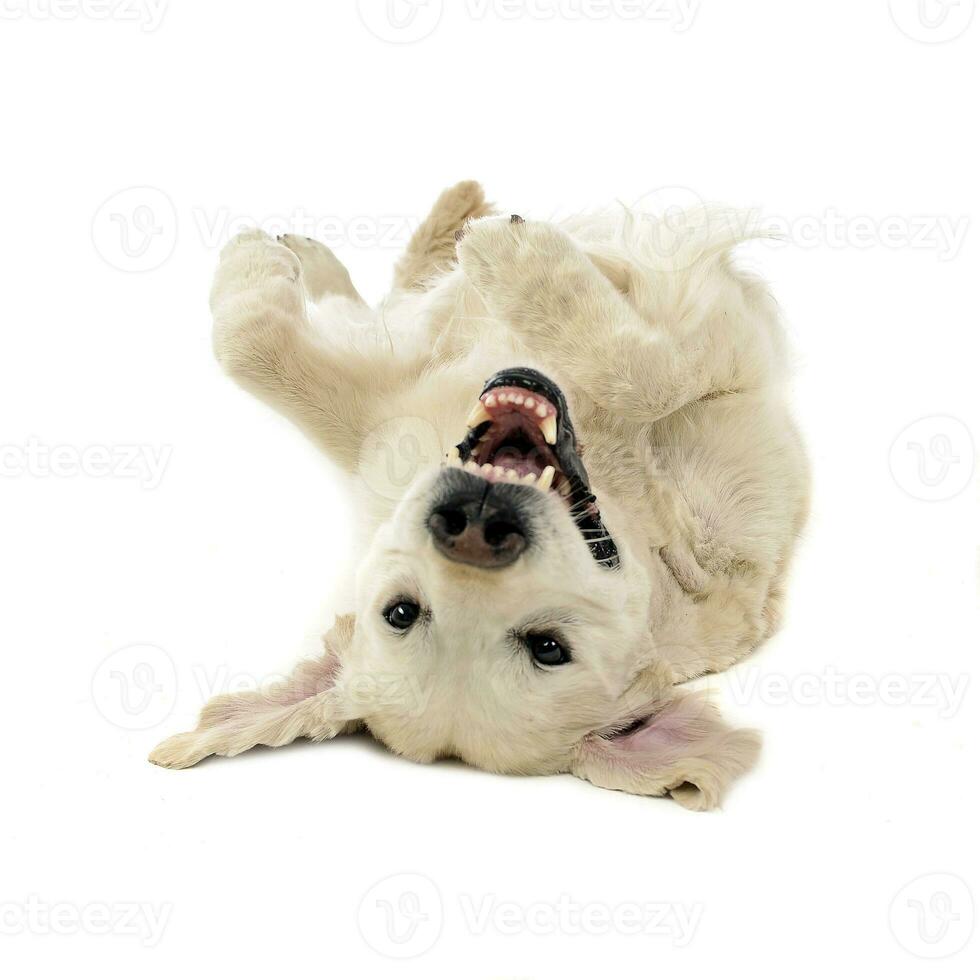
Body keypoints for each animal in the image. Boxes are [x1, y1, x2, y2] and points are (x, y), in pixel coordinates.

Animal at [151, 180, 812, 808]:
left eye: (548, 647)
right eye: (402, 611)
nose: (473, 523)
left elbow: (645, 377)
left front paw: (514, 259)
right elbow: (251, 343)